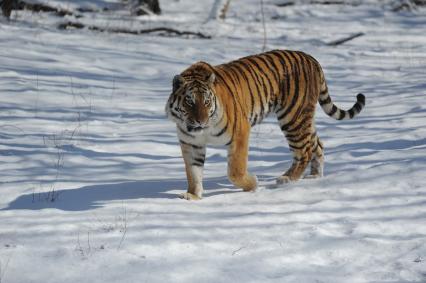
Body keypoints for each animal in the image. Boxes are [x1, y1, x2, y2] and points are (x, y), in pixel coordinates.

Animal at [165, 50, 364, 201]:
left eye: (206, 102)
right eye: (189, 102)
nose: (201, 121)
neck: (203, 131)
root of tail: (311, 58)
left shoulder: (240, 132)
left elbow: (235, 170)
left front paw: (252, 184)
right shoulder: (191, 144)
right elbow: (193, 172)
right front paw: (192, 195)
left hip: (292, 117)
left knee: (304, 150)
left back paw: (287, 179)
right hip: (302, 120)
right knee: (317, 144)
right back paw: (315, 175)